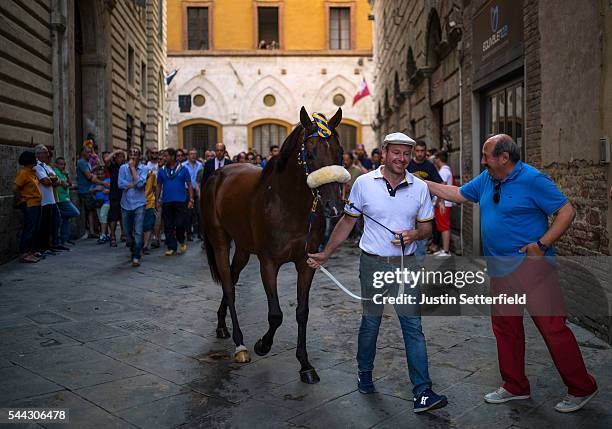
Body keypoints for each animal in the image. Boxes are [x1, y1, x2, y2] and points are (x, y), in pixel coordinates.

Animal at [203, 106, 346, 382]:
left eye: (340, 151)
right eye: (310, 153)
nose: (334, 206)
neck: (288, 203)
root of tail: (218, 174)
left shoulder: (306, 263)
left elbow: (302, 312)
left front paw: (305, 364)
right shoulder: (268, 263)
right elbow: (276, 315)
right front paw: (262, 344)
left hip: (243, 248)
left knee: (233, 280)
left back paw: (221, 325)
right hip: (220, 241)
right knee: (228, 285)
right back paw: (240, 344)